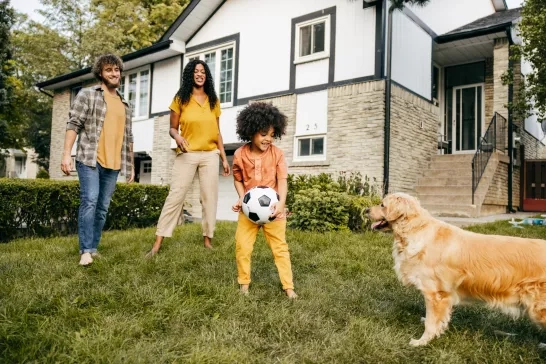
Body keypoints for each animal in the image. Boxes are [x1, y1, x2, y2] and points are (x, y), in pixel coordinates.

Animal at [364, 192, 544, 346]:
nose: (365, 210)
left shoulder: (435, 294)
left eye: (382, 205)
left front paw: (421, 342)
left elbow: (431, 323)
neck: (415, 231)